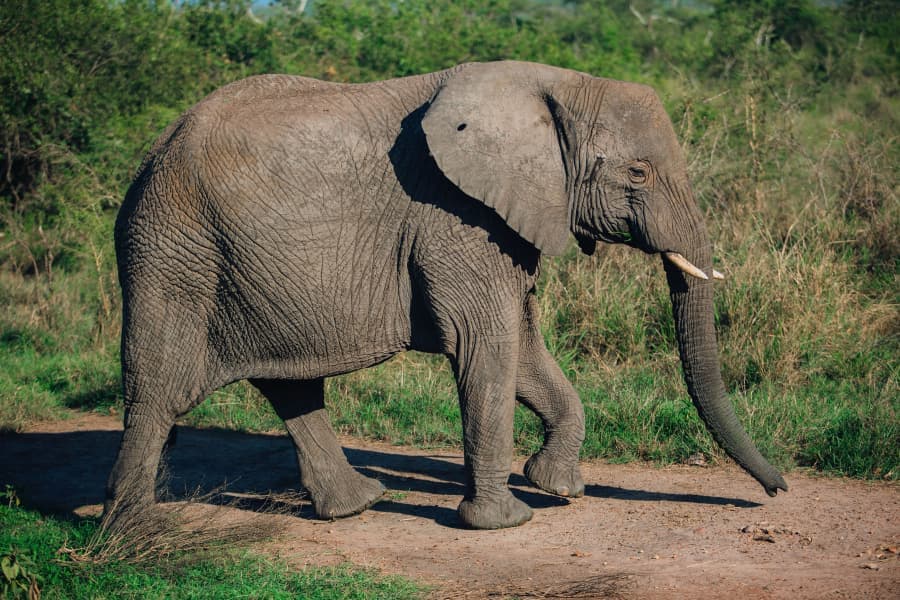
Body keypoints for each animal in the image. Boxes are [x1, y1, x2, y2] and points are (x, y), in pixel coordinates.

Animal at [106, 60, 787, 530]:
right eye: (637, 173)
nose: (778, 490)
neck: (555, 85)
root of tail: (150, 152)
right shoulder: (454, 216)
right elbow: (486, 344)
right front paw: (506, 523)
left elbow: (523, 347)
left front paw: (558, 488)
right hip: (172, 251)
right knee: (158, 389)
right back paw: (133, 533)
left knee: (289, 384)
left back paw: (358, 506)